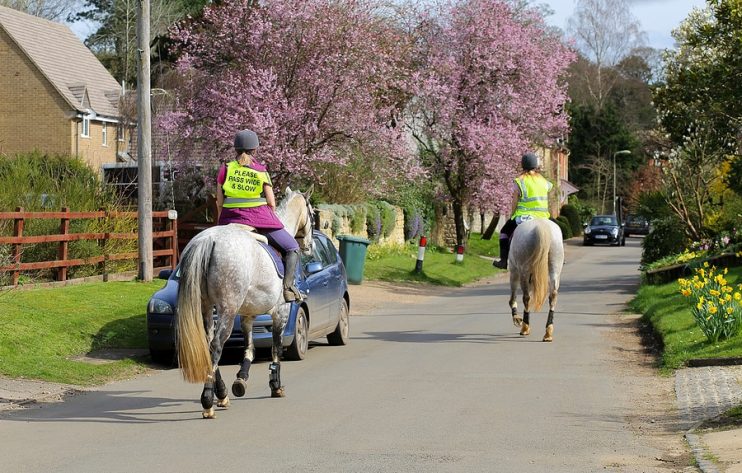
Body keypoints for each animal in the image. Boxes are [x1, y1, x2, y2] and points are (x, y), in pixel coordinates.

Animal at [177, 187, 314, 416]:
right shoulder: (281, 312)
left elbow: (250, 348)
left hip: (206, 306)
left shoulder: (247, 315)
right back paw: (208, 402)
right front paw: (275, 385)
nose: (310, 247)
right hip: (228, 309)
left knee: (209, 344)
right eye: (313, 215)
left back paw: (222, 394)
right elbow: (276, 349)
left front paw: (241, 380)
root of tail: (208, 239)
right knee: (216, 345)